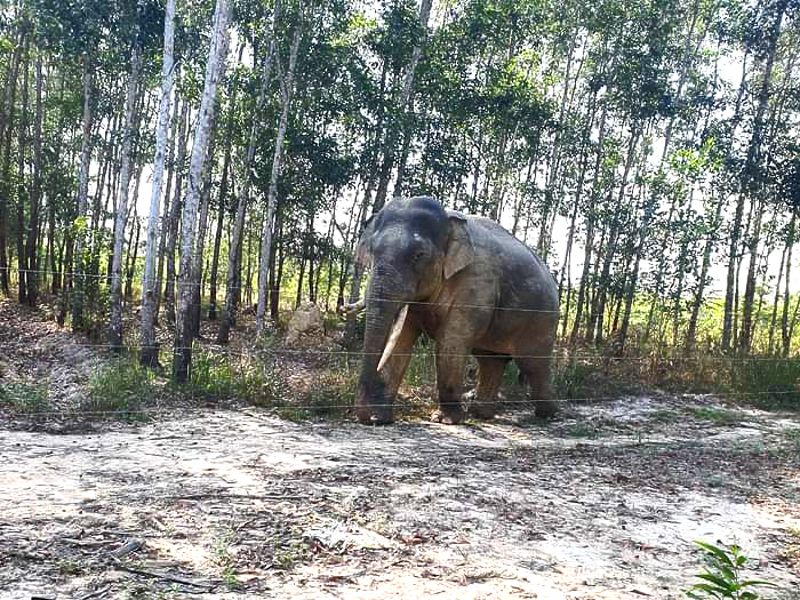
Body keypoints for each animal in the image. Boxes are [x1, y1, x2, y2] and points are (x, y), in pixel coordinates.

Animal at [351, 195, 559, 425]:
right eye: (371, 251)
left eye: (419, 255)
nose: (367, 418)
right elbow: (402, 341)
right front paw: (381, 418)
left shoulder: (476, 281)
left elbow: (451, 342)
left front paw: (445, 420)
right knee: (491, 361)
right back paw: (481, 414)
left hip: (543, 320)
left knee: (533, 365)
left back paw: (549, 415)